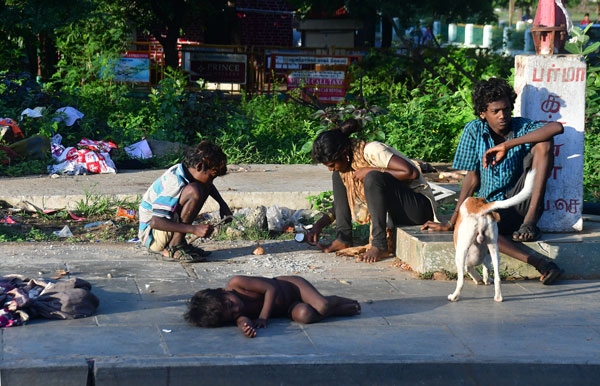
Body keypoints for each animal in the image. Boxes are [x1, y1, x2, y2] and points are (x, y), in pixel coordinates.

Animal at [448, 169, 536, 302]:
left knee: (461, 281)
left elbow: (470, 269)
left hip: (461, 252)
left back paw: (454, 296)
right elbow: (487, 268)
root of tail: (480, 207)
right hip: (494, 247)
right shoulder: (487, 256)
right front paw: (484, 279)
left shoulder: (467, 259)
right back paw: (498, 297)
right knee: (498, 278)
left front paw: (479, 279)